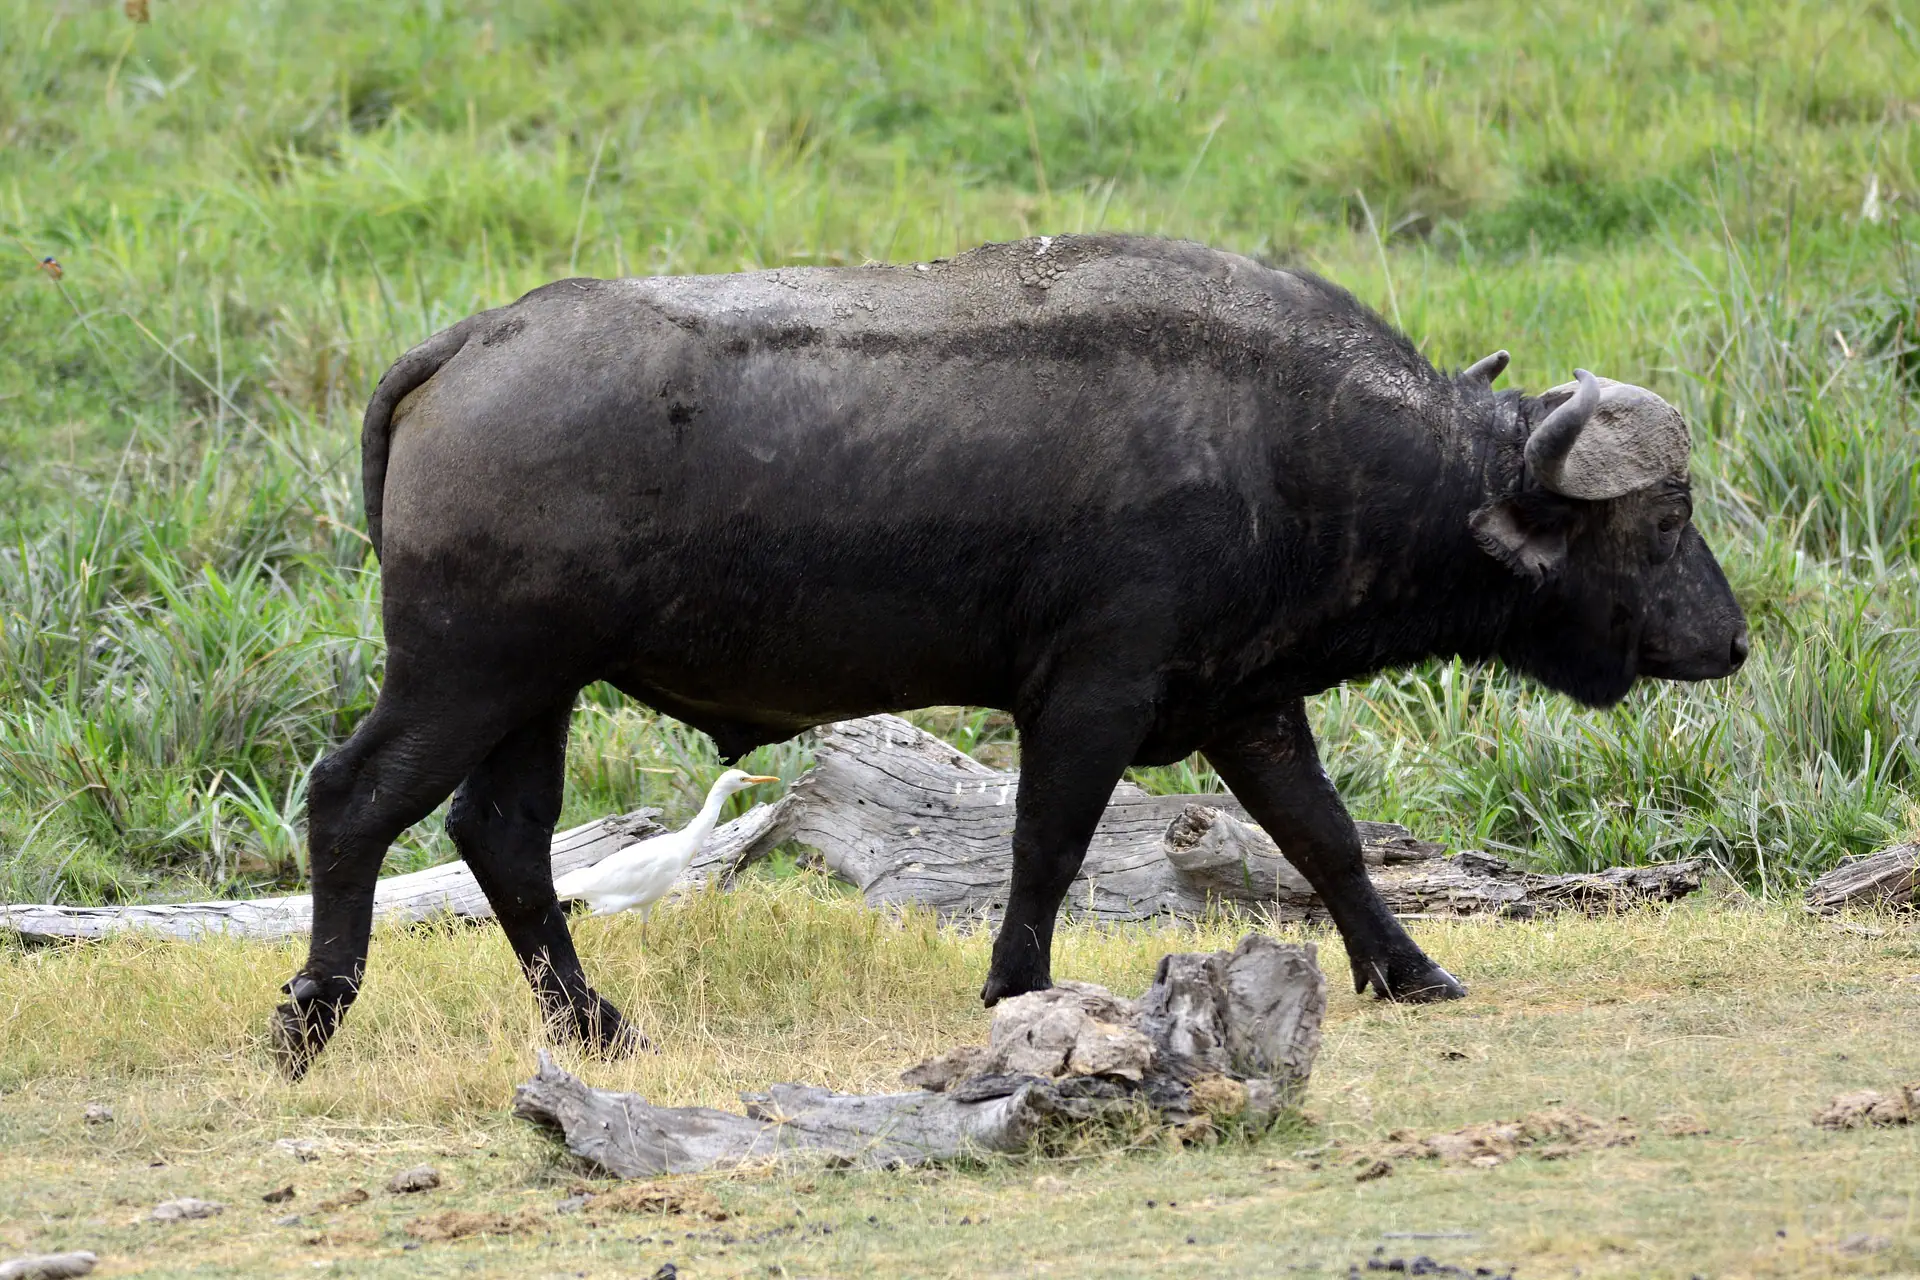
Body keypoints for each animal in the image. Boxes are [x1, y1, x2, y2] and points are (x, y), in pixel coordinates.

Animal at [263, 235, 1751, 1074]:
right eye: (1662, 519)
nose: (1731, 639)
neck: (1282, 437)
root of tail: (472, 343)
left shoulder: (1250, 700)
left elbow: (1323, 839)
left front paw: (1410, 968)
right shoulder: (1093, 692)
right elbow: (1049, 840)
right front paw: (1019, 987)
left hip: (534, 692)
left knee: (502, 835)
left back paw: (593, 1024)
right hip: (466, 672)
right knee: (352, 802)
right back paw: (312, 1017)